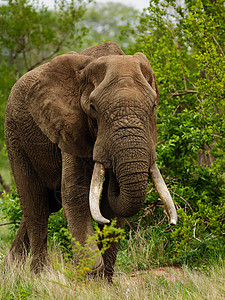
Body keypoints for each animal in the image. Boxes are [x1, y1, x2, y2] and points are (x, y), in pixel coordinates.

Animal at [3, 41, 176, 280]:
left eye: (154, 106)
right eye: (93, 108)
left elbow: (113, 207)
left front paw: (105, 282)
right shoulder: (69, 125)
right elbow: (76, 194)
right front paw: (89, 279)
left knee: (48, 205)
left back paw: (11, 269)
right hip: (14, 135)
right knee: (35, 205)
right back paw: (40, 275)